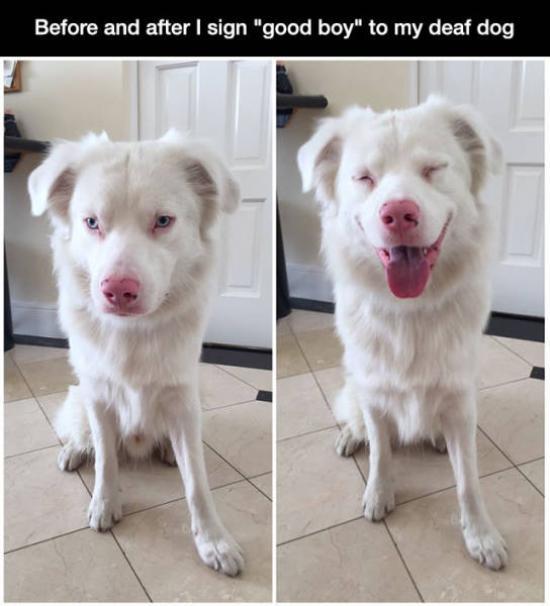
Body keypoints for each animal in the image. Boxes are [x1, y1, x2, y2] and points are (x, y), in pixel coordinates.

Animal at [28, 131, 246, 576]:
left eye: (163, 221)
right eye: (92, 222)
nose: (118, 291)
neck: (133, 333)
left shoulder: (183, 400)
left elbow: (197, 483)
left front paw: (213, 541)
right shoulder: (97, 396)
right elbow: (105, 460)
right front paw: (105, 503)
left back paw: (164, 451)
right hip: (77, 398)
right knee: (86, 439)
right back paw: (74, 451)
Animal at [300, 95, 512, 568]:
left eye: (433, 169)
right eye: (365, 177)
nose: (398, 214)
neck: (410, 311)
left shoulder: (460, 401)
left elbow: (468, 481)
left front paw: (480, 535)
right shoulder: (375, 393)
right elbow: (381, 453)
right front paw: (379, 495)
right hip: (354, 387)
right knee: (356, 419)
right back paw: (350, 436)